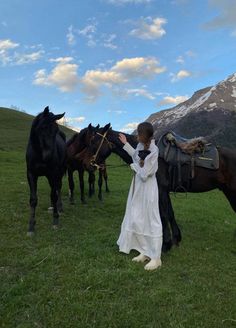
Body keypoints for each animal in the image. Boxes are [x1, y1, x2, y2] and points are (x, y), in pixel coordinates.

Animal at [25, 106, 66, 234]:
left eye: (56, 130)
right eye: (42, 127)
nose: (48, 156)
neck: (39, 154)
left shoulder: (54, 173)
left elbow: (54, 195)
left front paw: (55, 220)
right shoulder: (31, 174)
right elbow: (33, 199)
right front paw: (31, 226)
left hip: (58, 173)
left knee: (58, 188)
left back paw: (59, 207)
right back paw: (53, 206)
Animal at [81, 124, 236, 252]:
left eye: (93, 142)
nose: (86, 164)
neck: (147, 153)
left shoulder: (160, 189)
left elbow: (164, 215)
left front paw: (166, 244)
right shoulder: (165, 191)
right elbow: (170, 213)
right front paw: (176, 238)